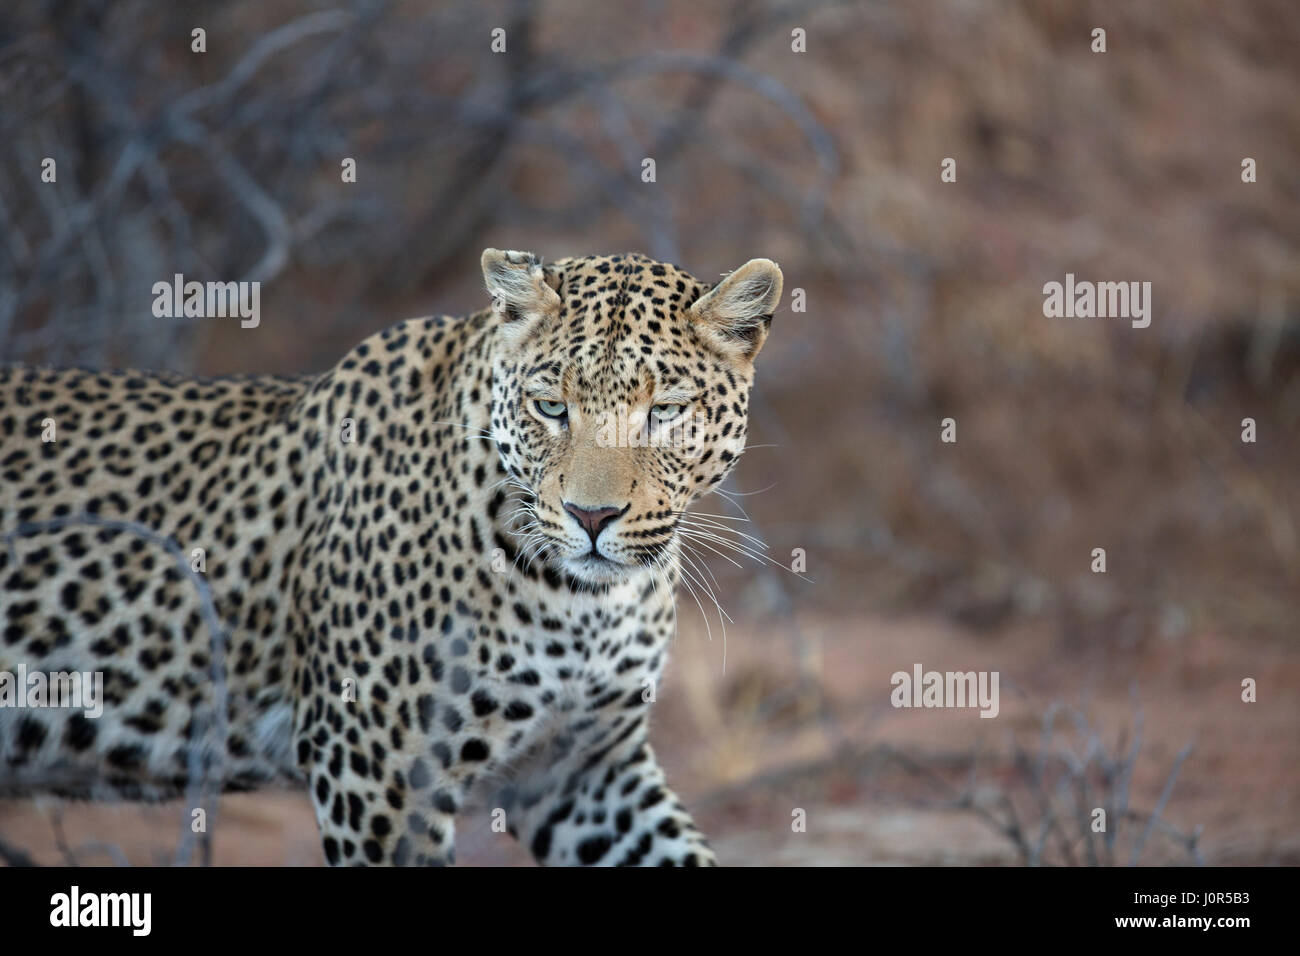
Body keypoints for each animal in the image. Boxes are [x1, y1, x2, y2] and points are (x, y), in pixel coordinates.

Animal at [0, 248, 780, 868]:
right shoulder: (378, 771)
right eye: (552, 408)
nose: (592, 517)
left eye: (666, 411)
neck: (587, 601)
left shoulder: (582, 768)